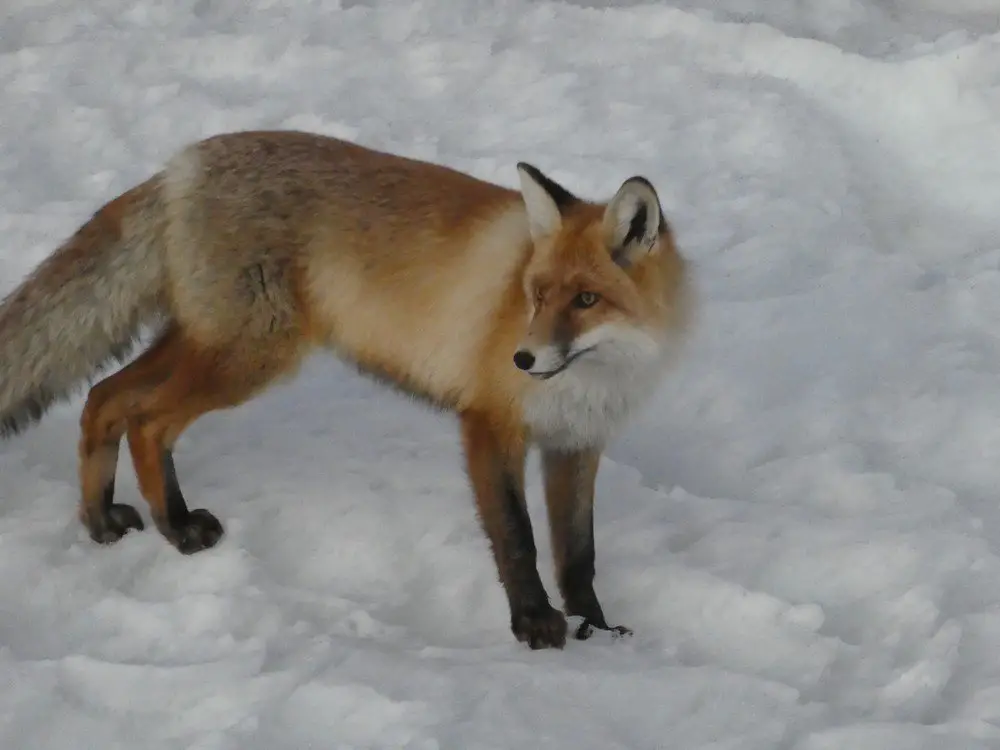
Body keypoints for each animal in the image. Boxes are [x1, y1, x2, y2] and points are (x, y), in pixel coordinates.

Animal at [0, 129, 692, 648]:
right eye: (537, 294)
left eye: (585, 300)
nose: (522, 359)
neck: (597, 379)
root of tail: (185, 160)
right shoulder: (490, 426)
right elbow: (518, 540)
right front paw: (535, 626)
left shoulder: (575, 445)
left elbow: (578, 554)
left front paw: (594, 628)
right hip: (246, 358)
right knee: (144, 421)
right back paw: (175, 527)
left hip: (204, 344)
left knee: (102, 399)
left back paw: (99, 522)